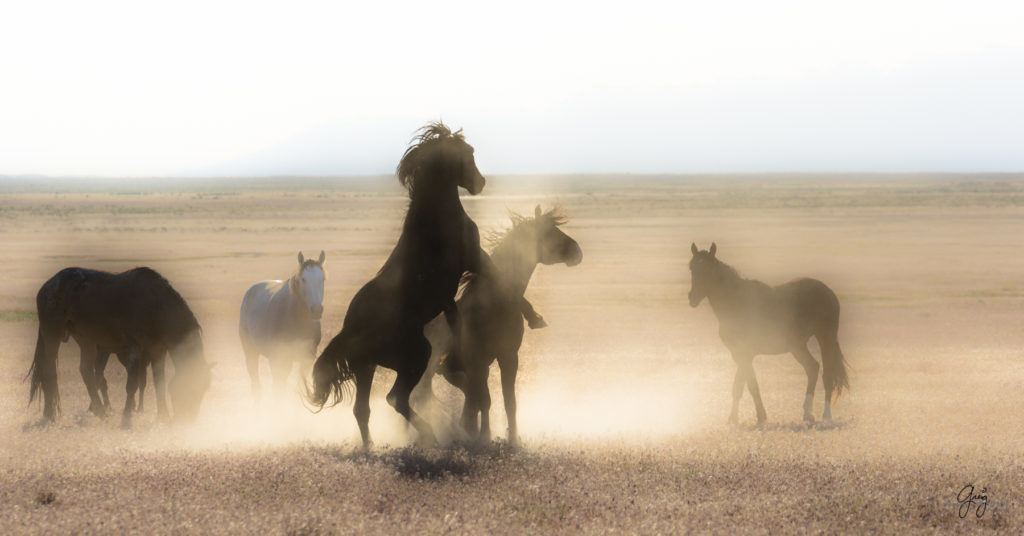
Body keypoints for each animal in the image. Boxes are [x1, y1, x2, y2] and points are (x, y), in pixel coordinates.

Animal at [29, 266, 211, 428]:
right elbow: (132, 385)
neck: (156, 305)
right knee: (50, 370)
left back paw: (100, 413)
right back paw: (49, 415)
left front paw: (163, 417)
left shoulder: (158, 351)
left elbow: (159, 383)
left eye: (203, 390)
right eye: (191, 387)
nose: (187, 421)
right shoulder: (135, 348)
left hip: (86, 339)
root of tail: (46, 287)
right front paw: (126, 419)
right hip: (52, 334)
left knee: (86, 371)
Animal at [237, 252, 325, 401]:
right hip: (251, 352)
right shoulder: (279, 360)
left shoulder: (307, 359)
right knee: (257, 386)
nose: (316, 310)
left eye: (322, 279)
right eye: (303, 279)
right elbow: (278, 392)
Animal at [309, 122, 505, 448]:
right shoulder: (475, 258)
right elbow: (496, 276)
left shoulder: (447, 297)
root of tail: (349, 329)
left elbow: (457, 322)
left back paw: (371, 447)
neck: (435, 217)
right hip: (416, 355)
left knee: (362, 409)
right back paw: (429, 434)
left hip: (367, 368)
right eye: (467, 153)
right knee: (395, 399)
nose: (481, 183)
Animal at [419, 205, 585, 444]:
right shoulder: (478, 363)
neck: (495, 306)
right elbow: (485, 400)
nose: (577, 251)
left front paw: (512, 438)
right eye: (549, 233)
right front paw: (484, 437)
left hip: (451, 372)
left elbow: (507, 401)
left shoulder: (508, 357)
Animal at [688, 240, 847, 426]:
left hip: (825, 338)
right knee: (812, 368)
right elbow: (739, 385)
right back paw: (807, 413)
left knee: (827, 375)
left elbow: (751, 384)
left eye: (709, 268)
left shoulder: (745, 354)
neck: (736, 301)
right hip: (798, 346)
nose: (692, 298)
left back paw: (826, 415)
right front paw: (733, 418)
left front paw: (761, 417)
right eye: (692, 267)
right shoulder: (738, 354)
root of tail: (829, 292)